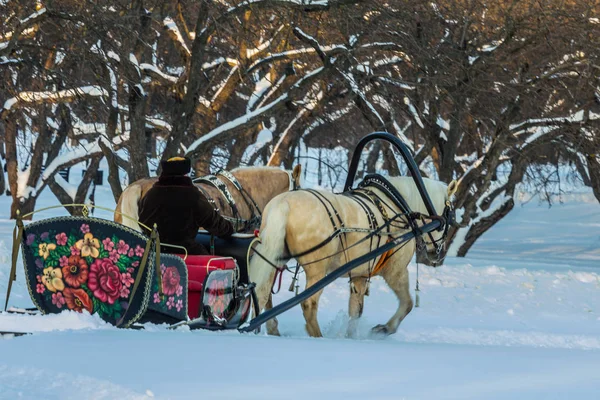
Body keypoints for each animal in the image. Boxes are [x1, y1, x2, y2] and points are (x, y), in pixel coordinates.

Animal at [246, 175, 458, 338]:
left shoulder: (359, 275)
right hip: (318, 269)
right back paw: (317, 336)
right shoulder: (396, 271)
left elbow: (355, 310)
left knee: (262, 294)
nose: (436, 253)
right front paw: (384, 329)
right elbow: (407, 303)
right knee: (308, 302)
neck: (397, 207)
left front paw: (351, 336)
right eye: (449, 214)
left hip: (274, 258)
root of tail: (284, 204)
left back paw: (267, 330)